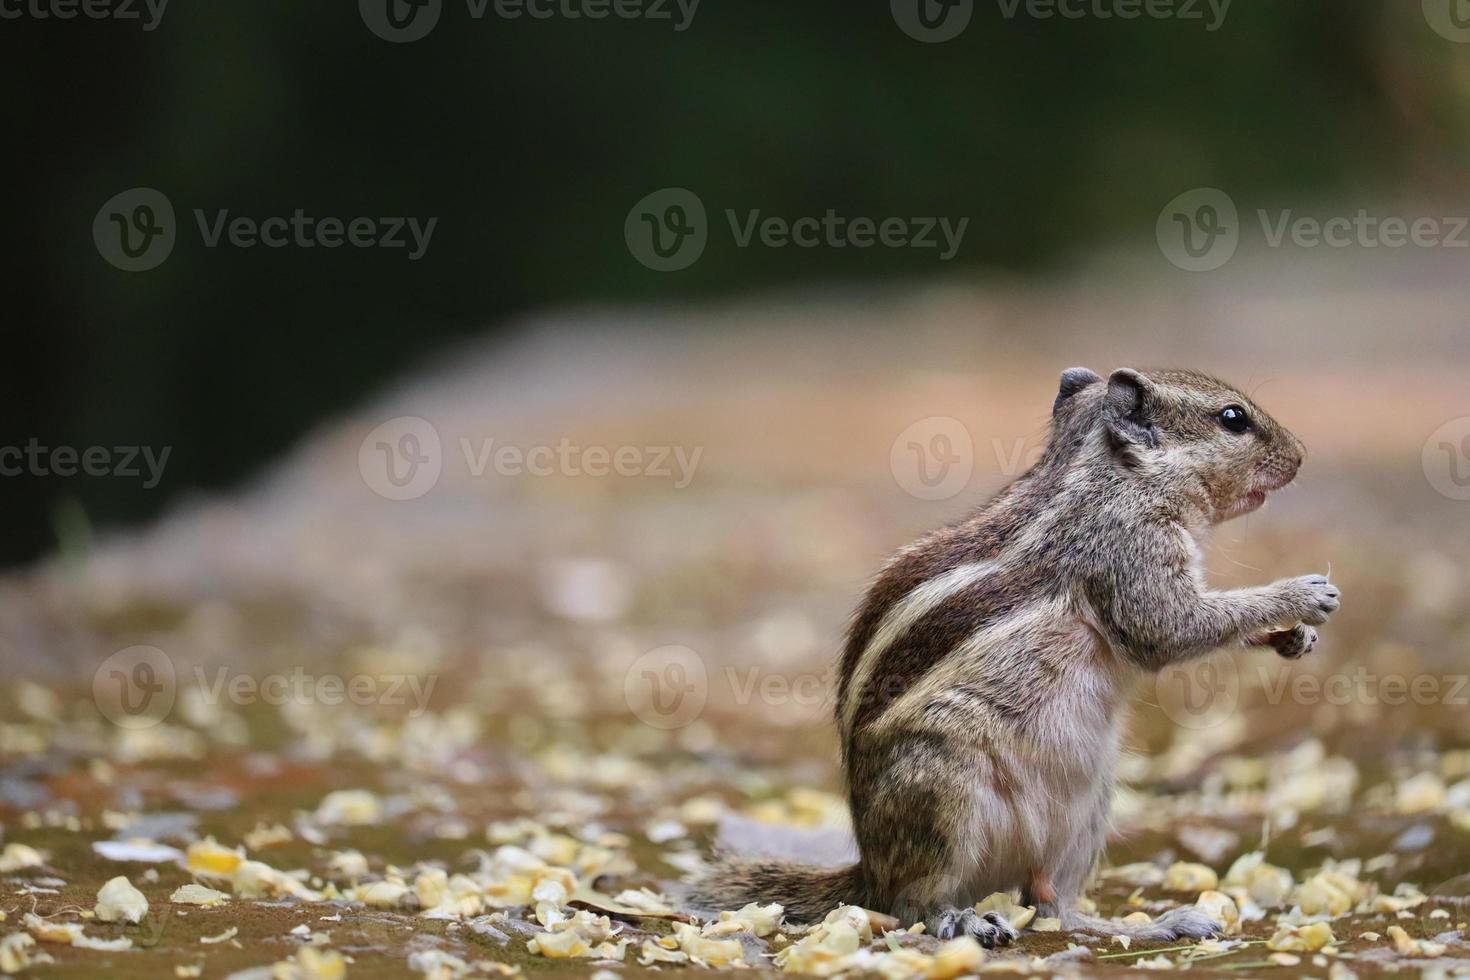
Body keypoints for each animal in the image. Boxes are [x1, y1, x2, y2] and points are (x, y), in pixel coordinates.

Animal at [687, 365, 1346, 940]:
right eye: (1233, 418)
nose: (1300, 456)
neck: (1112, 474)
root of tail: (869, 869)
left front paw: (1293, 638)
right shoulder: (1130, 552)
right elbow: (1172, 628)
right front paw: (1300, 595)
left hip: (1086, 812)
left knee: (1054, 906)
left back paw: (1153, 925)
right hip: (944, 790)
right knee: (913, 903)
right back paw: (964, 921)